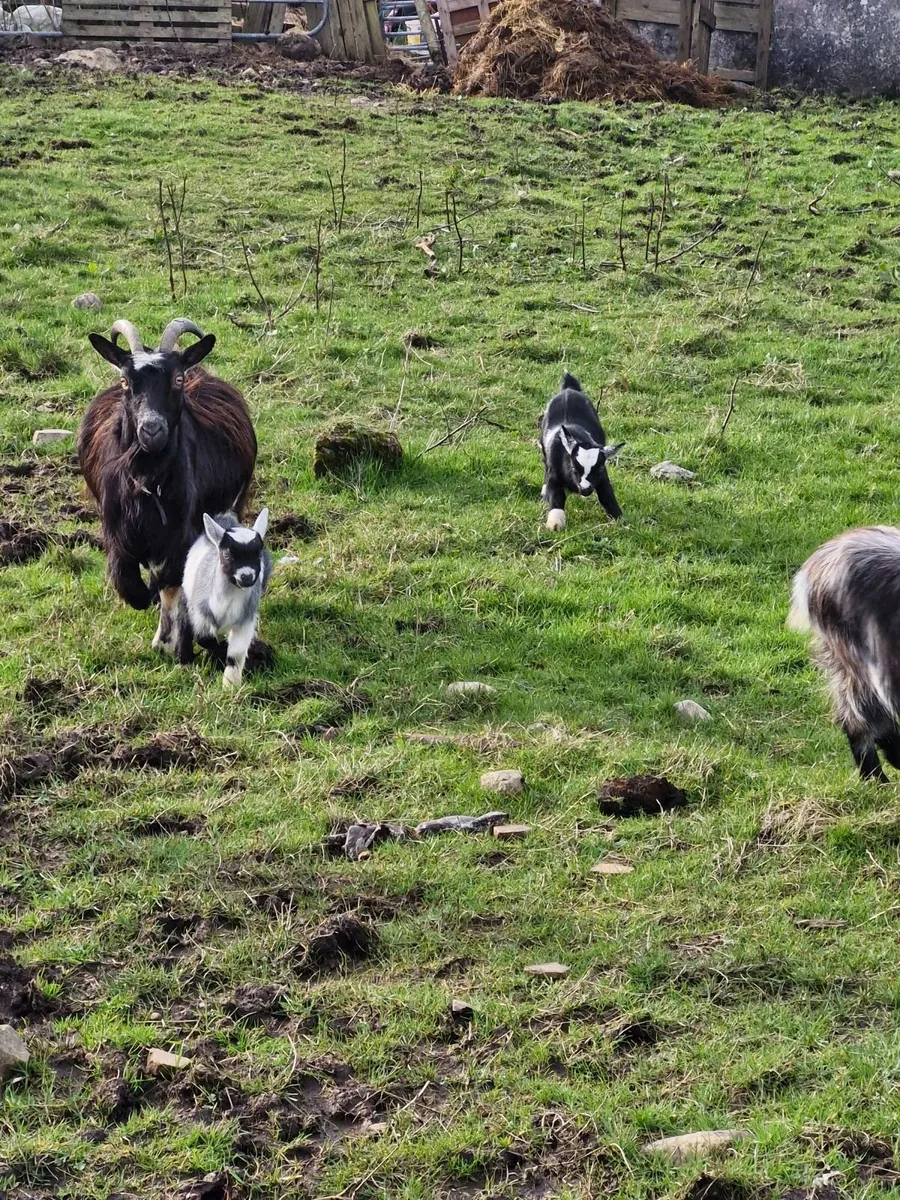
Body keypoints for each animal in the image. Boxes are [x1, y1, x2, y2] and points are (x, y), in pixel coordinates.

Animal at [78, 318, 257, 656]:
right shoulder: (116, 531)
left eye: (177, 379)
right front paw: (158, 623)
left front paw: (172, 641)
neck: (148, 479)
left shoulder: (180, 533)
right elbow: (129, 584)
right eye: (125, 381)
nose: (152, 430)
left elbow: (172, 584)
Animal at [177, 509, 271, 689]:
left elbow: (236, 654)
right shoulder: (201, 614)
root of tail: (226, 519)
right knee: (183, 623)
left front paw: (230, 686)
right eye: (227, 554)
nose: (246, 577)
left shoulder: (244, 620)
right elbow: (205, 639)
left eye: (258, 554)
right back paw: (184, 661)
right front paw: (218, 652)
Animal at [539, 373, 624, 531]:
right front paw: (555, 524)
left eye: (599, 469)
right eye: (573, 468)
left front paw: (620, 520)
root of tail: (569, 389)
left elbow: (608, 496)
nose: (585, 490)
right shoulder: (554, 475)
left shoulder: (602, 477)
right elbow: (556, 496)